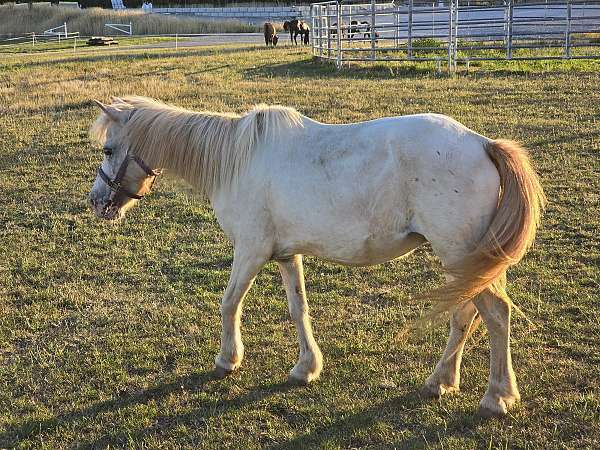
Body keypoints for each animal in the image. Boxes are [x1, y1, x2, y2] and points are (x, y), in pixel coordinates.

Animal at [88, 96, 544, 416]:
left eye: (108, 150)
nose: (96, 203)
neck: (238, 160)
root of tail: (483, 144)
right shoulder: (286, 255)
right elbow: (299, 308)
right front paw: (306, 367)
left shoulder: (250, 250)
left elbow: (229, 303)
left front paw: (227, 360)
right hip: (467, 263)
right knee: (463, 315)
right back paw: (441, 381)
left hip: (461, 257)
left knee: (495, 315)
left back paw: (497, 397)